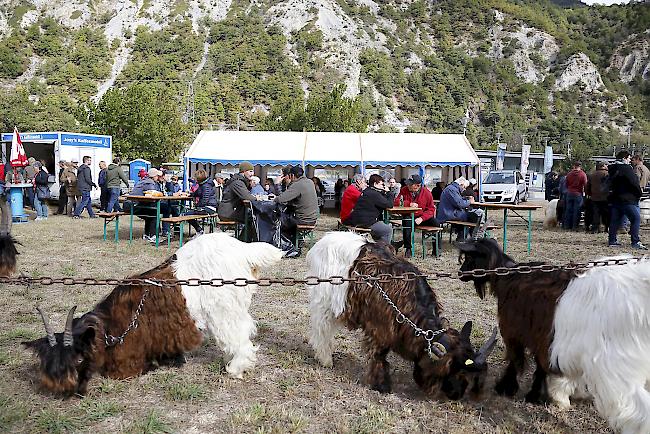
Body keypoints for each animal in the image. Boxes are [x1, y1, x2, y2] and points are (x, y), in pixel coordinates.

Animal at [23, 234, 280, 396]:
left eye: (78, 359)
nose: (63, 389)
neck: (110, 326)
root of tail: (243, 250)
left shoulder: (126, 361)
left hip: (223, 309)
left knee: (239, 337)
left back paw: (235, 368)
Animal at [306, 234, 494, 400]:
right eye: (454, 369)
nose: (456, 395)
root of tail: (321, 243)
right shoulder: (380, 327)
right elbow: (379, 354)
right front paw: (381, 385)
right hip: (324, 299)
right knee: (321, 327)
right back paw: (325, 358)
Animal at [456, 237, 648, 434]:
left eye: (469, 257)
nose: (461, 273)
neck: (508, 277)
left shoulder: (514, 332)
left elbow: (515, 361)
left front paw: (507, 388)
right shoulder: (544, 338)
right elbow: (543, 367)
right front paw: (552, 395)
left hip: (614, 365)